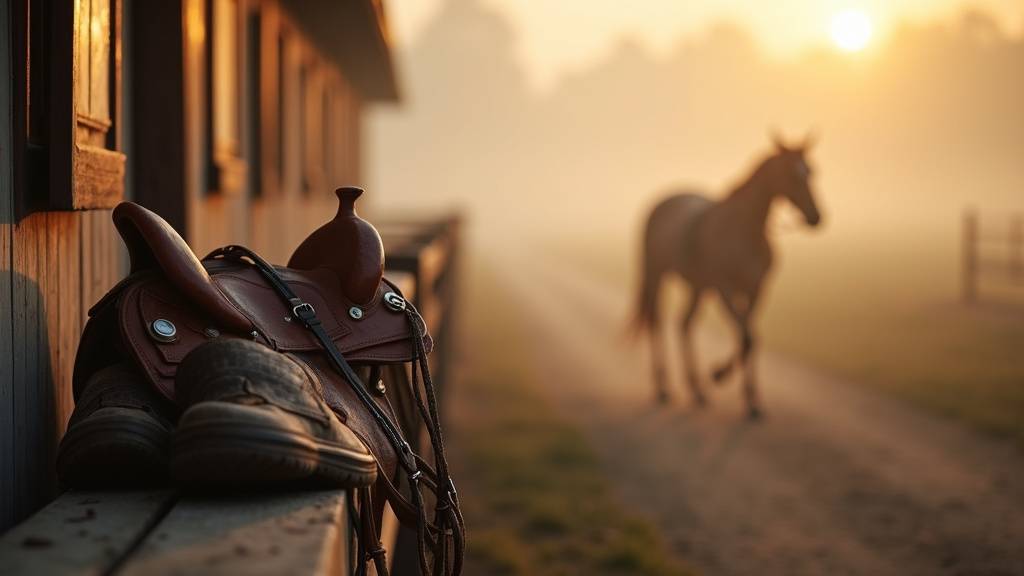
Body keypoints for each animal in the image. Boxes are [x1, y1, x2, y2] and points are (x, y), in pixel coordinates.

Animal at [633, 135, 822, 418]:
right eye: (791, 173)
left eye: (811, 171)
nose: (816, 217)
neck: (745, 230)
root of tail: (662, 202)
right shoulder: (725, 288)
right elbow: (745, 337)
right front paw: (719, 374)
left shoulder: (756, 289)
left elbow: (751, 338)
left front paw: (752, 401)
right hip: (656, 274)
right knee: (656, 322)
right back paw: (663, 388)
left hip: (697, 287)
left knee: (684, 324)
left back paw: (697, 390)